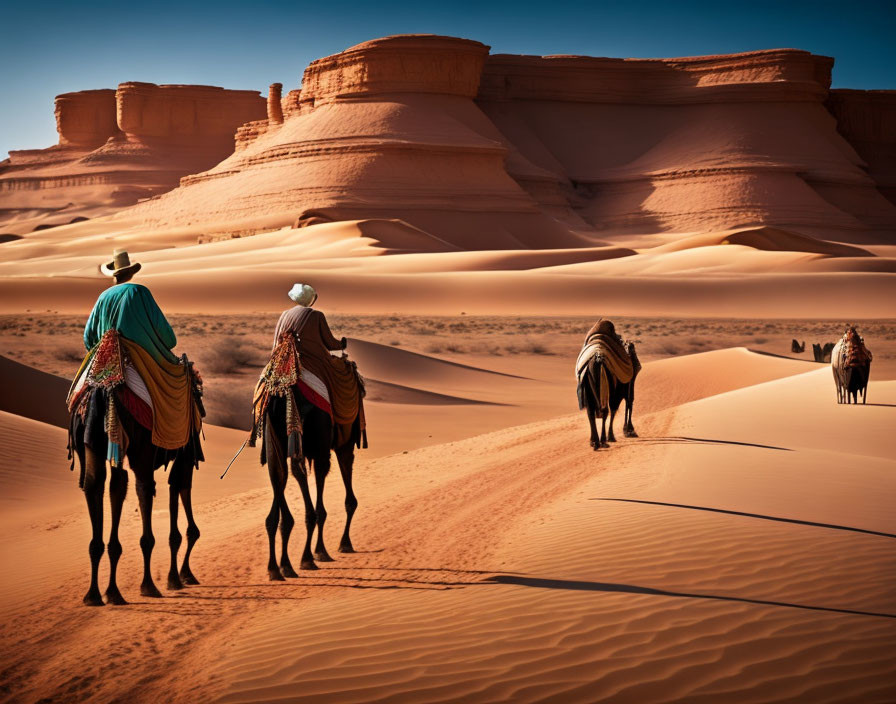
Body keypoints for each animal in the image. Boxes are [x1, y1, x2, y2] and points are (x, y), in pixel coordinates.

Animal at [576, 320, 640, 452]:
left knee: (591, 412)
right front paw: (618, 434)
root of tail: (597, 357)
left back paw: (594, 442)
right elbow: (617, 408)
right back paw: (603, 441)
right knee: (607, 410)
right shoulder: (620, 389)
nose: (638, 365)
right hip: (608, 386)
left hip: (587, 385)